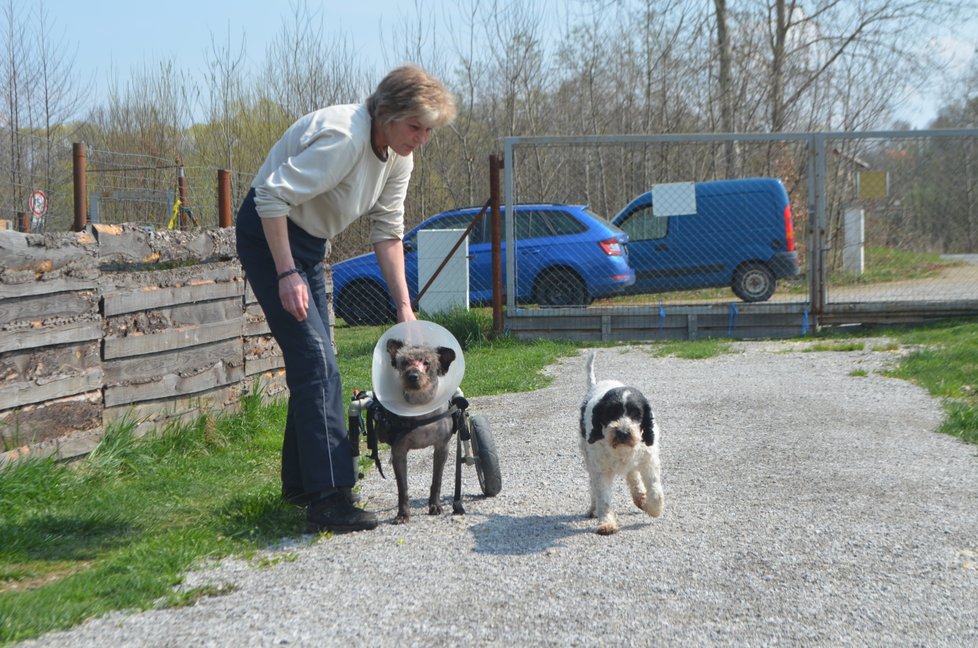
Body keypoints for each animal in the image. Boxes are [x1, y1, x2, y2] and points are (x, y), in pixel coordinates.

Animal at [382, 336, 458, 524]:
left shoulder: (442, 447)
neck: (421, 409)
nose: (412, 375)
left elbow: (436, 480)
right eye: (404, 362)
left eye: (427, 362)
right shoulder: (399, 452)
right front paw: (403, 514)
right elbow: (402, 488)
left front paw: (435, 506)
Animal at [580, 352, 664, 536]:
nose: (623, 433)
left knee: (633, 475)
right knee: (593, 486)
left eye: (636, 413)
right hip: (588, 459)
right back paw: (593, 509)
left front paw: (652, 509)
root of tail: (595, 385)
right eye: (610, 413)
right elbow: (603, 497)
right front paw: (606, 523)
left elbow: (655, 492)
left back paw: (640, 498)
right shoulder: (600, 469)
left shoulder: (649, 461)